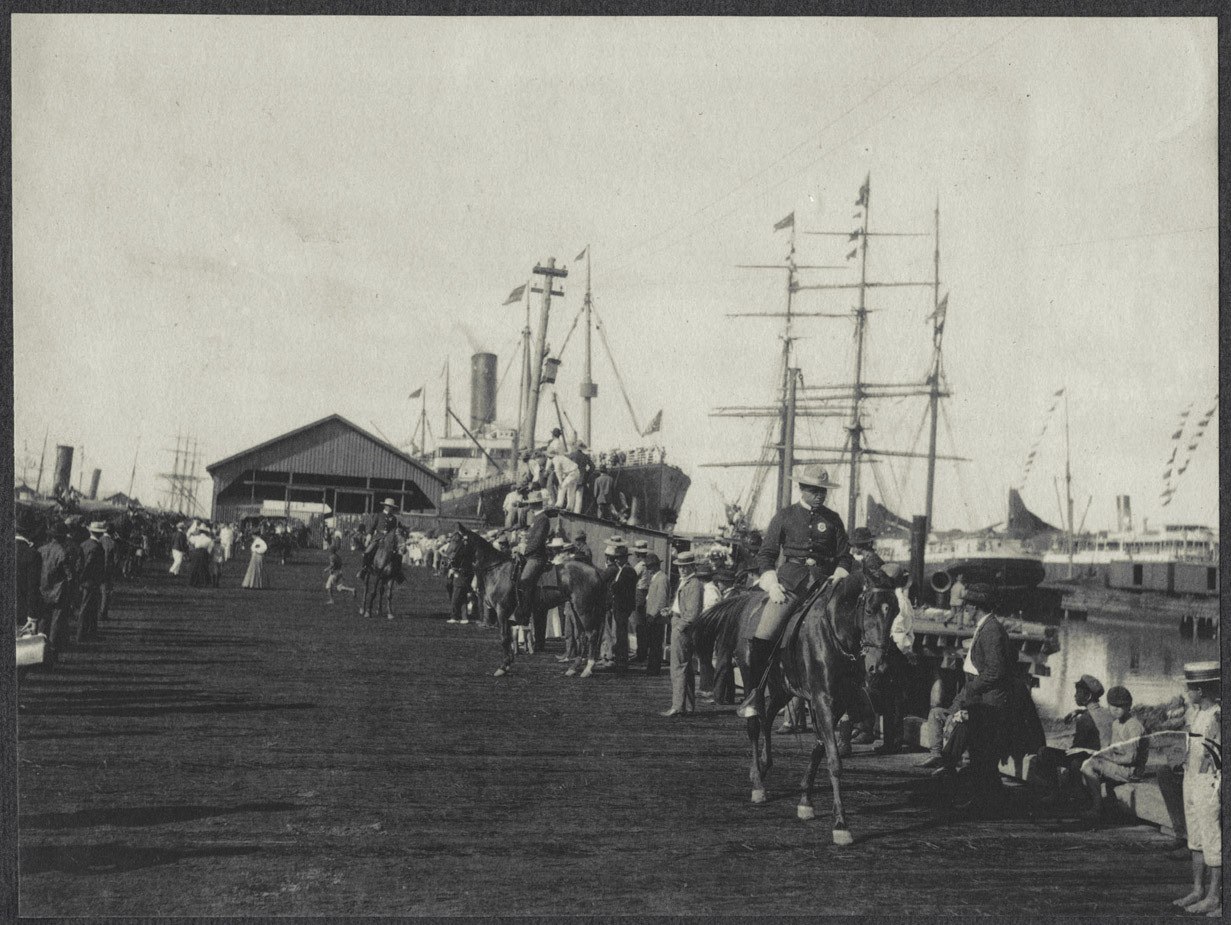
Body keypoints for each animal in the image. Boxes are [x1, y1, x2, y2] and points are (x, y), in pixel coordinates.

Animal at [448, 527, 610, 679]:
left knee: (591, 635)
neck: (498, 570)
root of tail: (596, 572)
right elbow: (509, 637)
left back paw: (588, 669)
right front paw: (508, 663)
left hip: (584, 610)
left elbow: (504, 638)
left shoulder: (502, 611)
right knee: (582, 636)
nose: (447, 562)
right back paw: (573, 668)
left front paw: (503, 667)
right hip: (576, 610)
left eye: (457, 540)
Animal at [694, 564, 896, 847]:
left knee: (767, 717)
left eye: (895, 611)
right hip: (752, 675)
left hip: (782, 688)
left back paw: (764, 765)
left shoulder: (837, 703)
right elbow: (834, 760)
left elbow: (819, 749)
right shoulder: (823, 700)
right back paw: (758, 783)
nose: (880, 667)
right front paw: (841, 824)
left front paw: (805, 801)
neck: (834, 634)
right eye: (869, 610)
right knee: (754, 724)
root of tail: (748, 600)